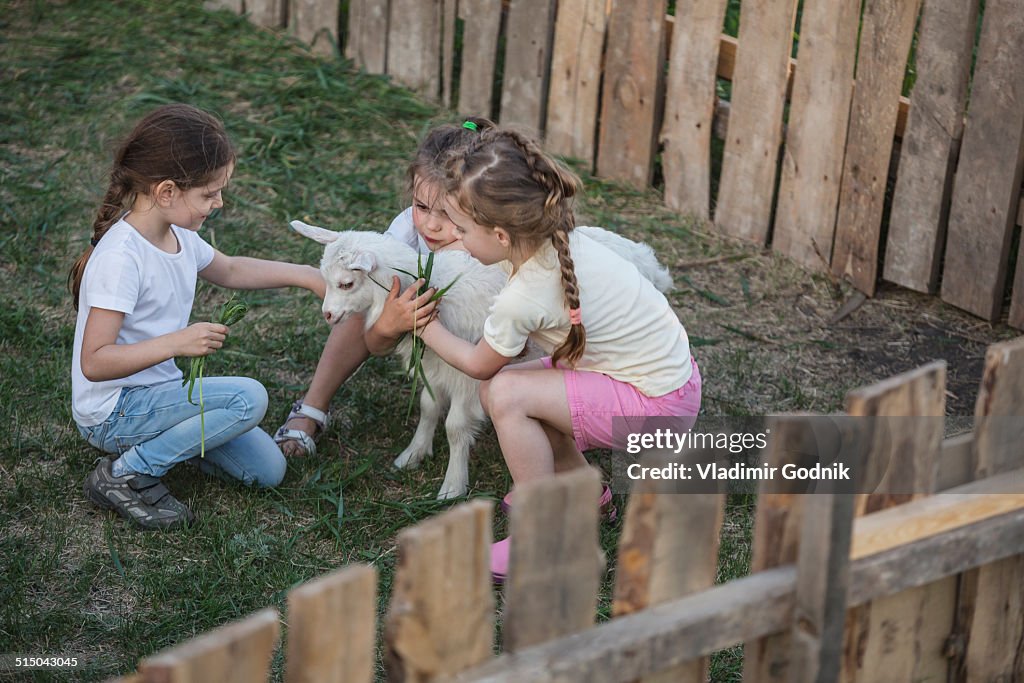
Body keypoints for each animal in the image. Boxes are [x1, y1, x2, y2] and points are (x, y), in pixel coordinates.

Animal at [292, 222, 671, 499]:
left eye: (347, 283)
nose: (328, 315)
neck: (436, 284)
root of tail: (648, 259)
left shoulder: (466, 375)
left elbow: (456, 426)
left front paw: (452, 486)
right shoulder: (435, 367)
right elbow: (428, 407)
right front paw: (414, 454)